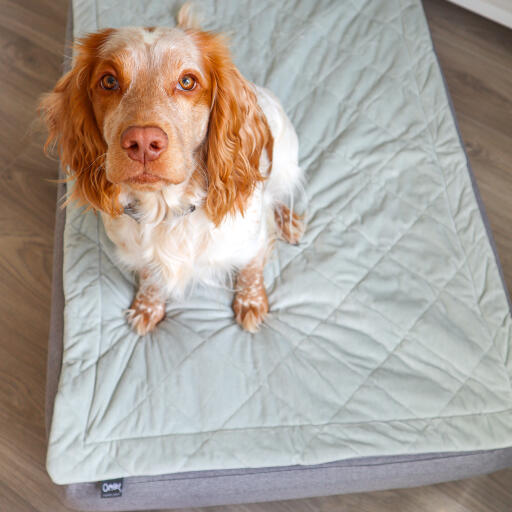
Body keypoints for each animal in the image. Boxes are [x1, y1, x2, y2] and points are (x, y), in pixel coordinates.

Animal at [42, 8, 304, 338]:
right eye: (109, 80)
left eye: (187, 81)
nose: (143, 143)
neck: (166, 210)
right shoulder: (137, 254)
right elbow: (151, 279)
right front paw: (147, 306)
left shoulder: (251, 243)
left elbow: (251, 271)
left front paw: (251, 302)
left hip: (284, 158)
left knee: (277, 194)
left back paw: (288, 222)